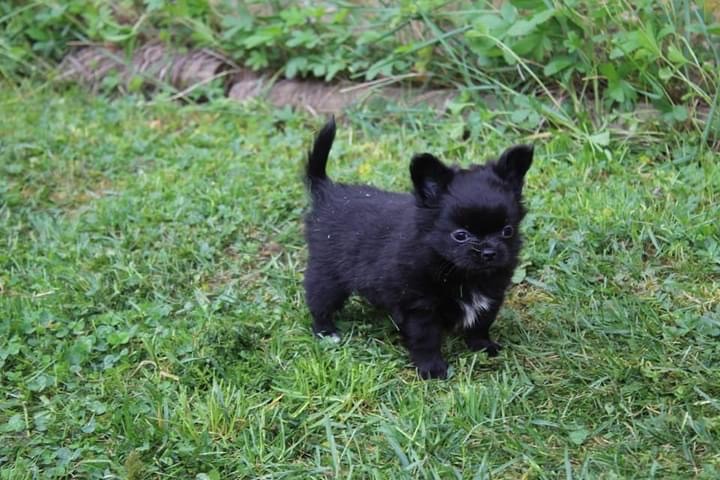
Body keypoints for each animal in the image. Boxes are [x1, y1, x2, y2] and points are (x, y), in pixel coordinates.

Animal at [300, 119, 532, 378]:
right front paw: (432, 368)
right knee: (319, 302)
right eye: (460, 236)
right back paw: (326, 332)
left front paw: (482, 346)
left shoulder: (491, 296)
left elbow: (481, 323)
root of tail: (327, 191)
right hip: (328, 276)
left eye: (507, 231)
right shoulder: (420, 308)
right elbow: (426, 339)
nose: (489, 252)